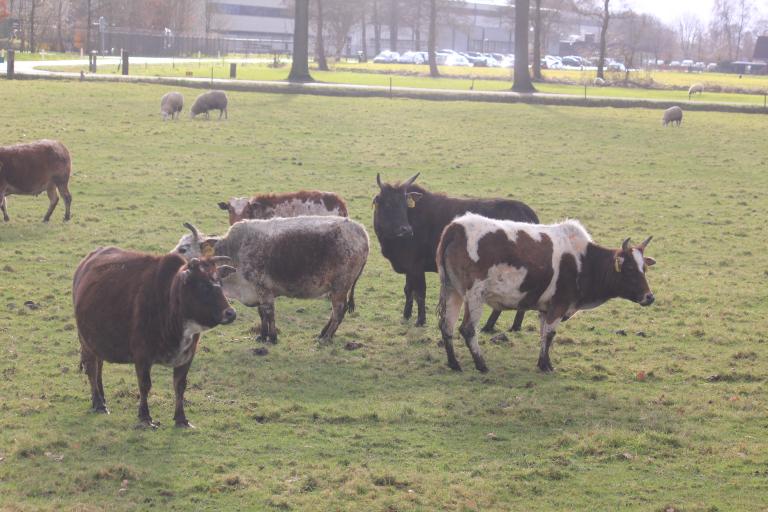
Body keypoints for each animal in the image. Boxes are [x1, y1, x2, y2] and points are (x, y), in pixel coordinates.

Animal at [76, 248, 237, 428]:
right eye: (203, 285)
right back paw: (99, 403)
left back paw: (101, 398)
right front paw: (145, 417)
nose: (230, 313)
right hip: (86, 341)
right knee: (92, 369)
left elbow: (180, 386)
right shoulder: (142, 356)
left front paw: (181, 418)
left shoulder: (187, 356)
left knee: (99, 367)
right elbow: (145, 385)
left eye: (221, 284)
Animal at [436, 214, 656, 374]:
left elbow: (543, 335)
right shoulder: (559, 305)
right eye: (629, 269)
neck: (583, 260)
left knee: (447, 326)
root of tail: (456, 228)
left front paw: (542, 362)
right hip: (475, 296)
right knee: (467, 329)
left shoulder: (545, 309)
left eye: (644, 268)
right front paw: (546, 365)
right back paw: (481, 364)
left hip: (453, 291)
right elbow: (550, 334)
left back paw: (454, 363)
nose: (649, 297)